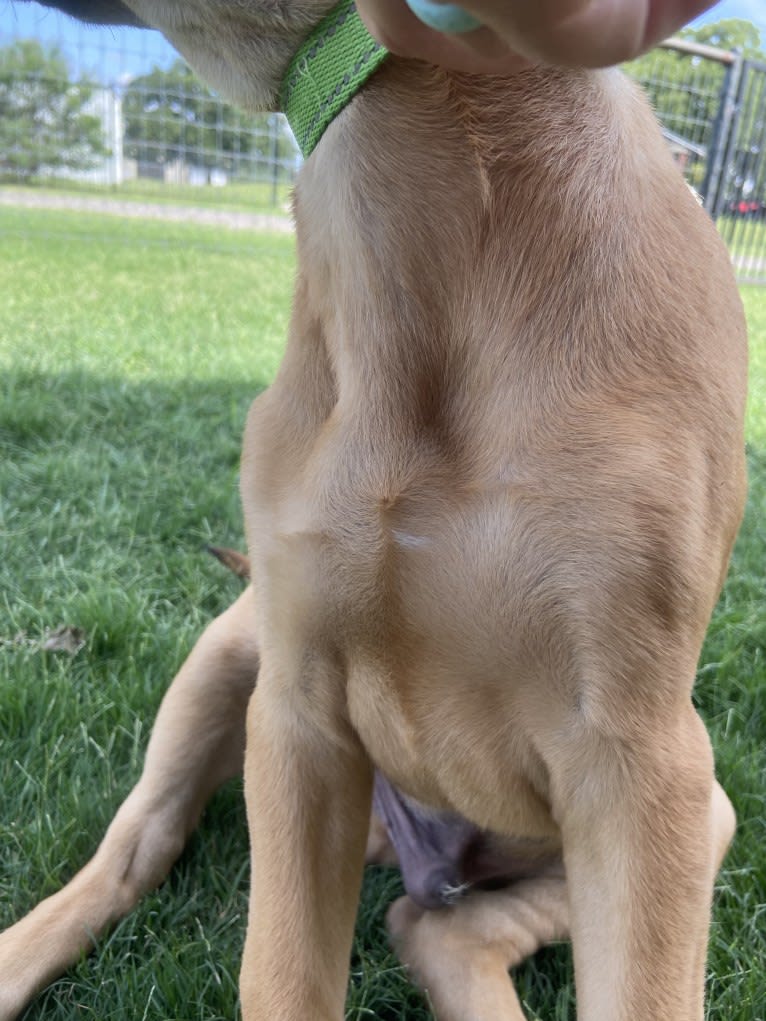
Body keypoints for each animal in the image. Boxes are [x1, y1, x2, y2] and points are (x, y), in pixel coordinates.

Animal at [0, 1, 747, 1021]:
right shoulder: (298, 712)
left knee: (435, 929)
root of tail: (416, 852)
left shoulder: (640, 761)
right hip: (226, 653)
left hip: (700, 811)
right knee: (138, 844)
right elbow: (278, 975)